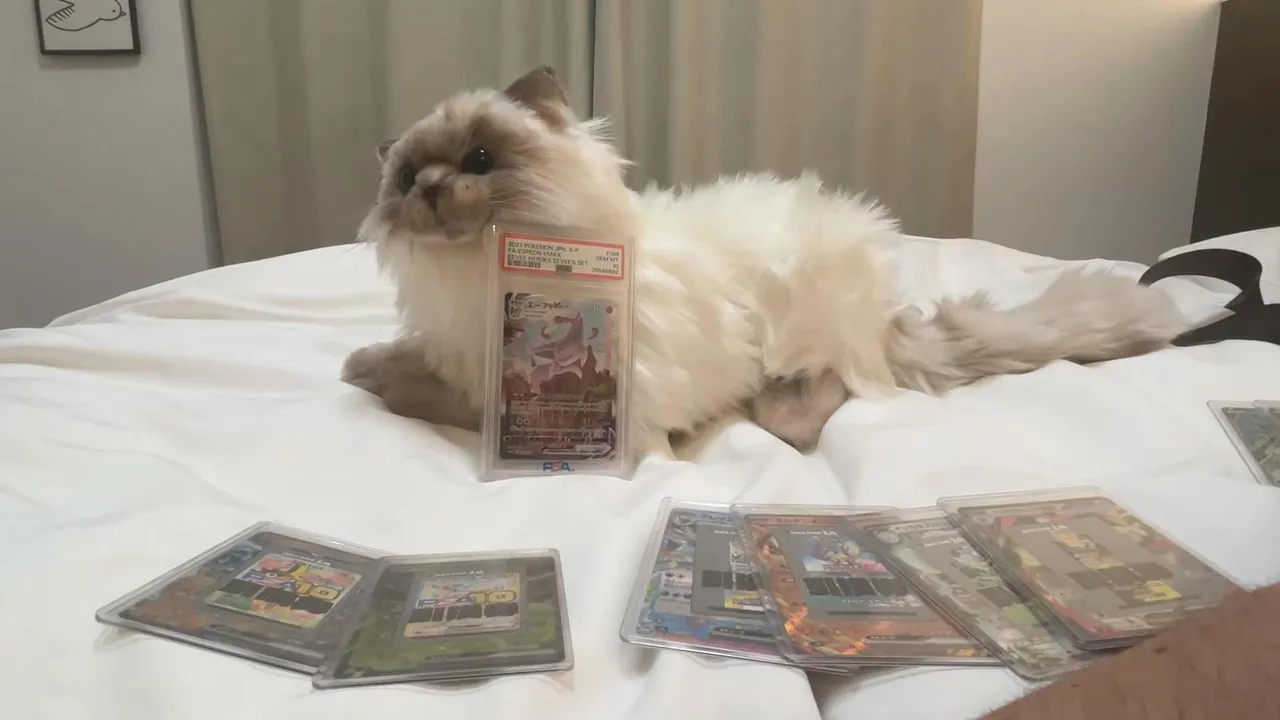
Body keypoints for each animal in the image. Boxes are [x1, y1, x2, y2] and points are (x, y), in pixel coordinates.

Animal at [342, 66, 1188, 462]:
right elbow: (407, 371)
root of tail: (884, 316)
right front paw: (367, 367)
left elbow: (441, 401)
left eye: (480, 159)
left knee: (819, 400)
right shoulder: (464, 363)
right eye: (407, 180)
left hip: (795, 336)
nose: (433, 188)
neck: (476, 278)